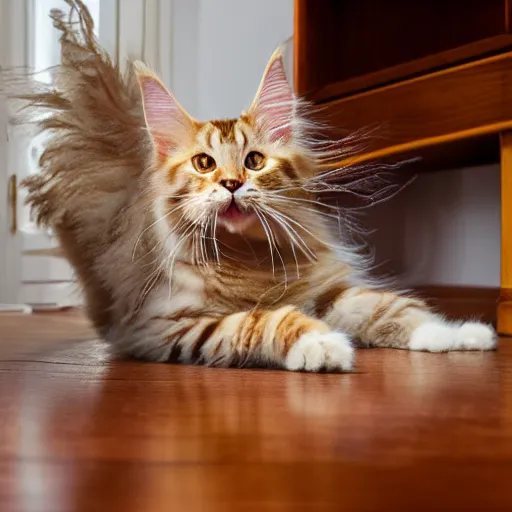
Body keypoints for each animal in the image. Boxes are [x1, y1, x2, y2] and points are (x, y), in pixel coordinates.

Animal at [16, 0, 496, 368]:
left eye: (254, 161)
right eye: (204, 163)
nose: (231, 183)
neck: (248, 259)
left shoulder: (327, 290)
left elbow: (392, 308)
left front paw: (455, 334)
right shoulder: (166, 326)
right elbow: (263, 320)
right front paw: (321, 344)